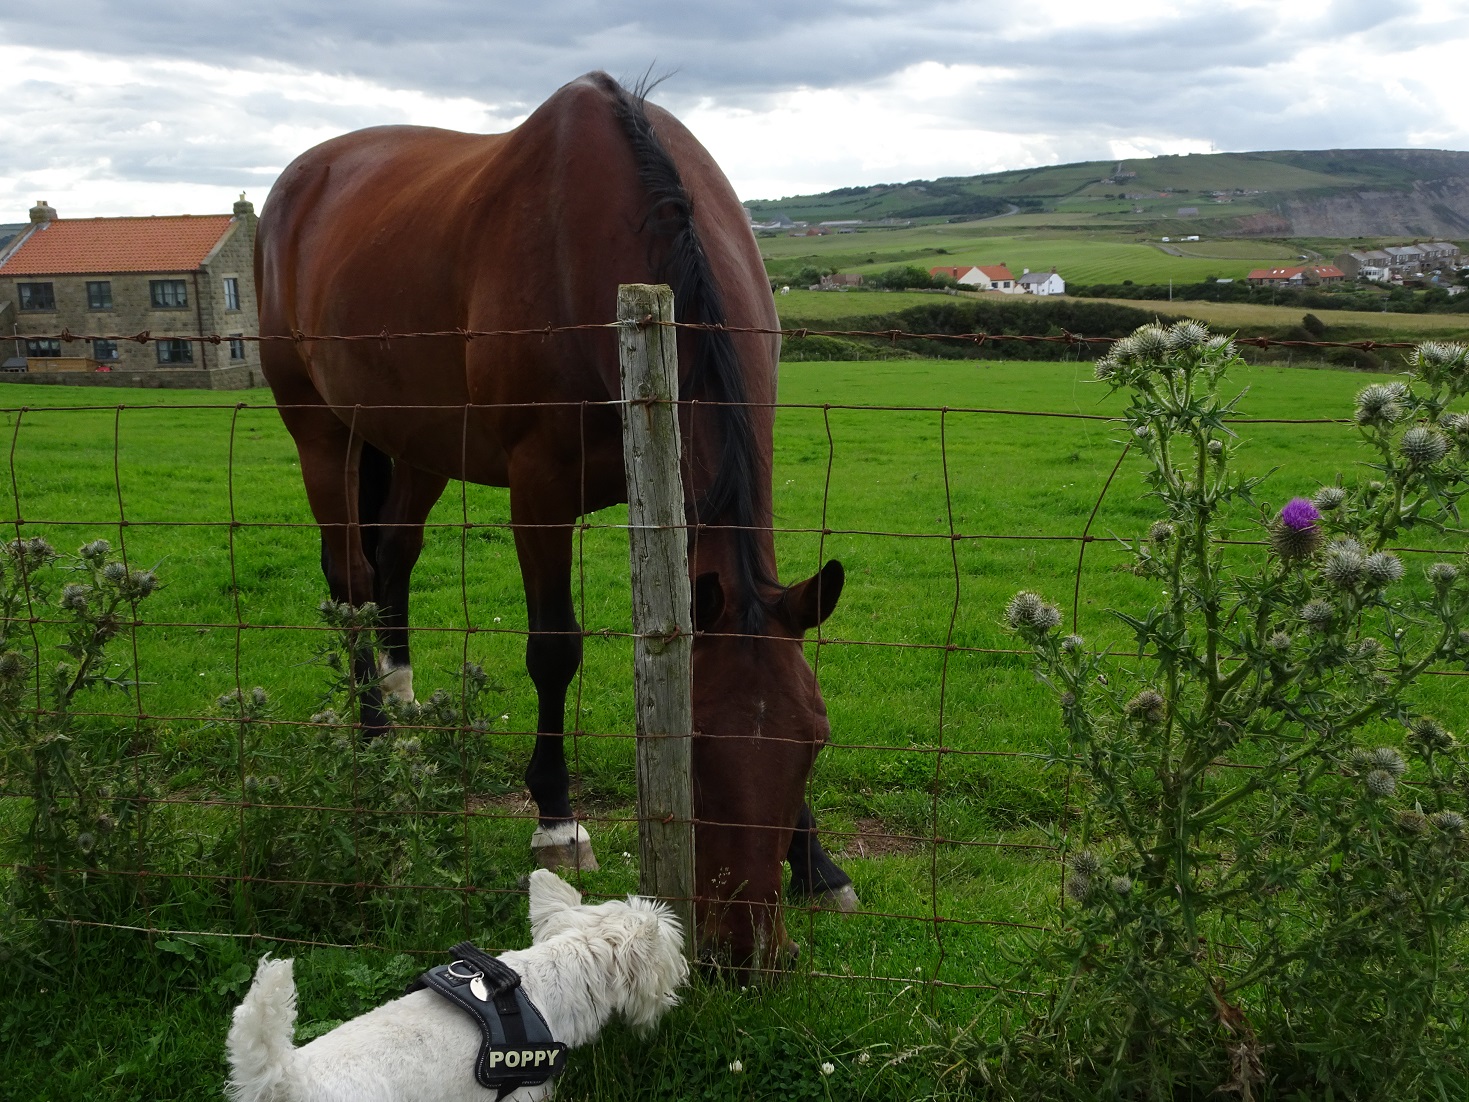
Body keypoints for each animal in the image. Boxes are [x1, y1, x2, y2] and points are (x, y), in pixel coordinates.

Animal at [251, 73, 852, 963]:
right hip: (323, 432)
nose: (745, 949)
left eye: (812, 743)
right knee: (351, 577)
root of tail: (301, 179)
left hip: (420, 443)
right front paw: (557, 821)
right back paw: (374, 738)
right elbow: (554, 650)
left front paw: (817, 862)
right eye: (694, 747)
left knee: (394, 556)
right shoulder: (538, 490)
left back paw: (403, 701)